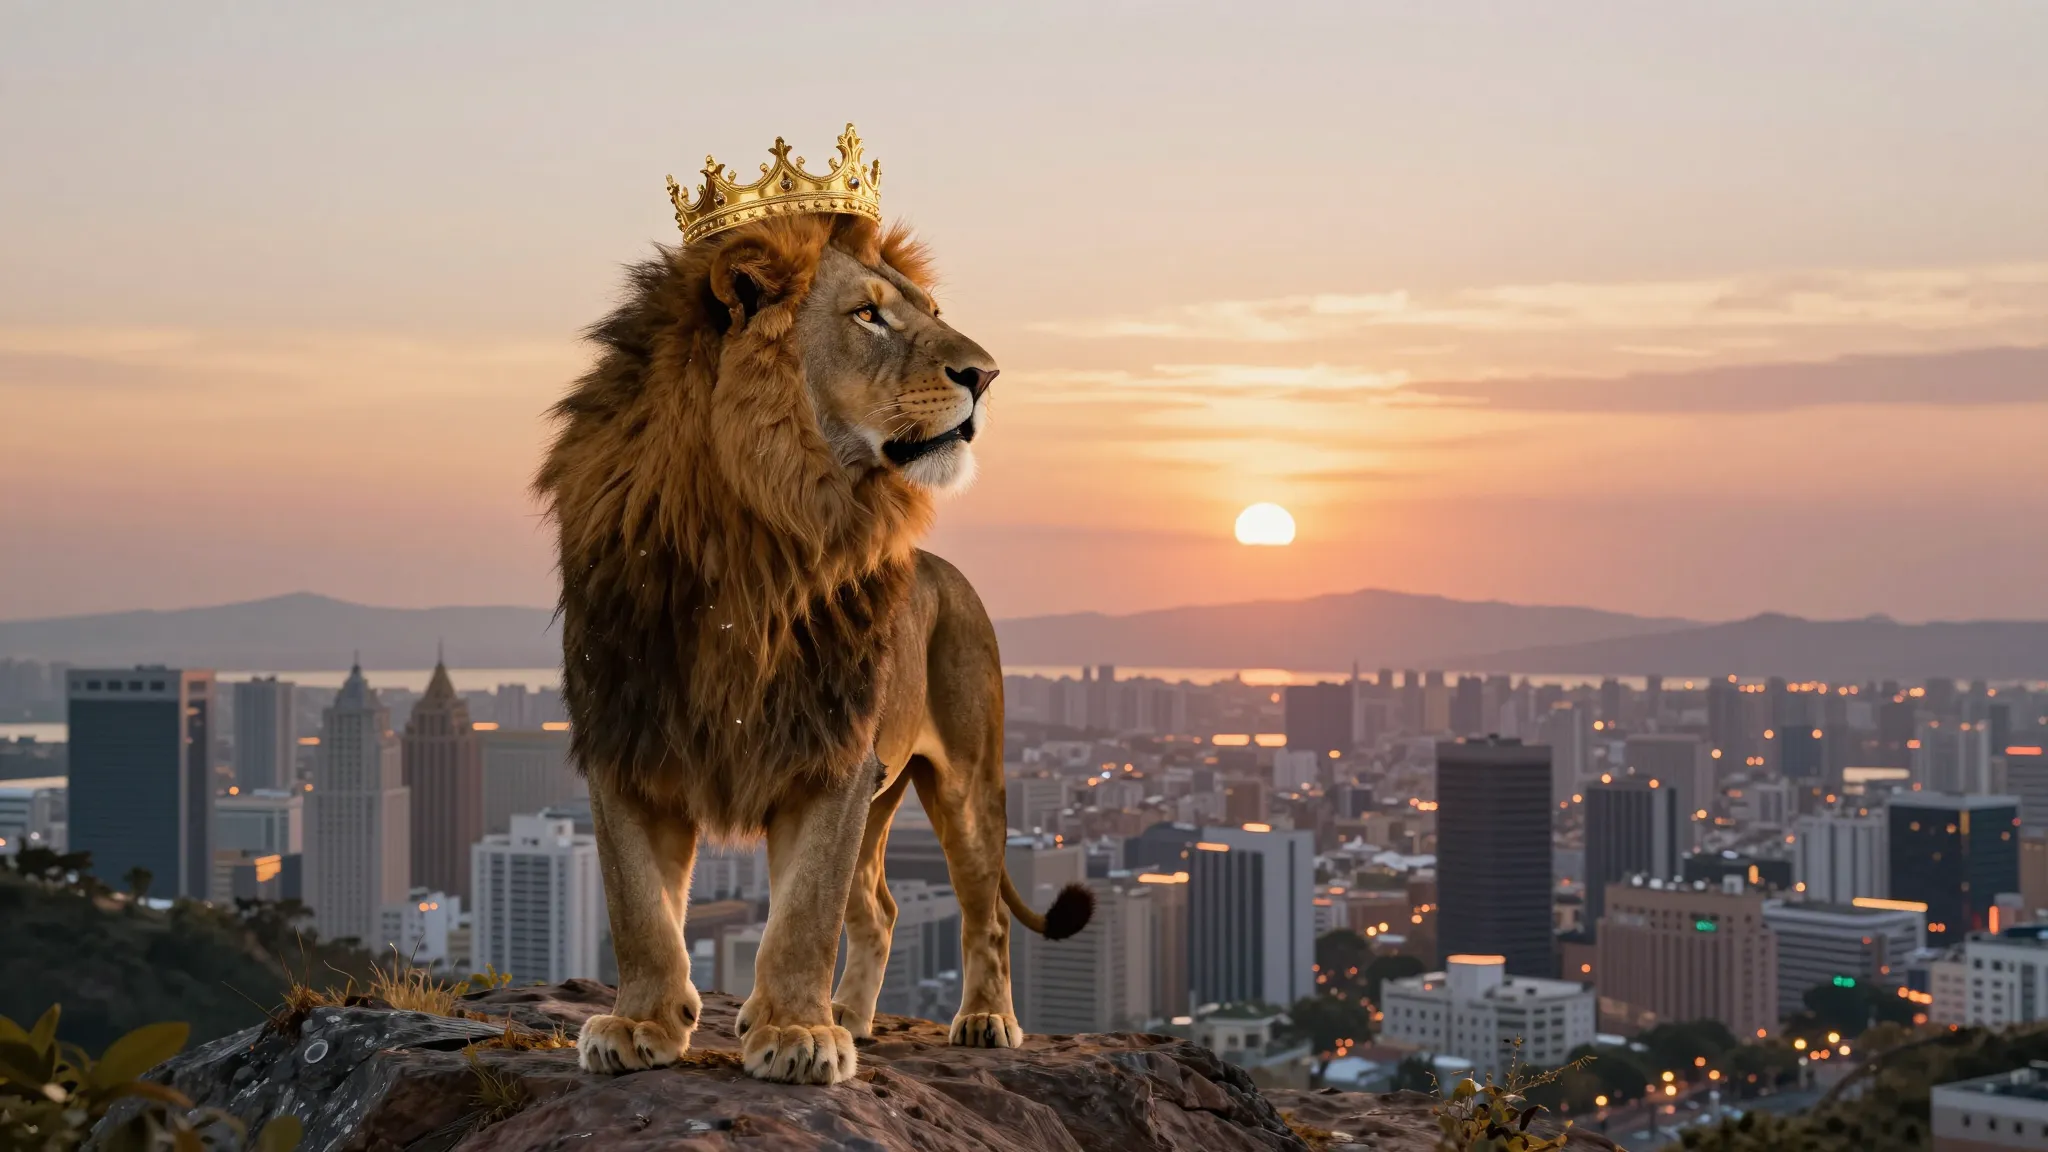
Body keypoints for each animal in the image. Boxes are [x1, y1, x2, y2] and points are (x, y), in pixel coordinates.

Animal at [534, 210, 1093, 1085]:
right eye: (868, 316)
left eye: (932, 309)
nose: (988, 374)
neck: (745, 529)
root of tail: (946, 570)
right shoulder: (624, 738)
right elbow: (638, 906)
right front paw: (642, 1024)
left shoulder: (829, 751)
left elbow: (804, 913)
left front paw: (795, 1033)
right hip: (880, 800)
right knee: (883, 910)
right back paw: (853, 1017)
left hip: (968, 785)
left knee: (983, 918)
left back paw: (983, 1020)